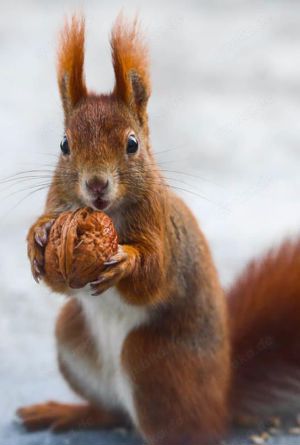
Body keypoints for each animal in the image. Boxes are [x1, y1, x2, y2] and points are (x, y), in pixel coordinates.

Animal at [17, 14, 300, 444]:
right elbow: (59, 279)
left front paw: (125, 261)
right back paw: (68, 411)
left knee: (184, 428)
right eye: (64, 144)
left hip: (154, 365)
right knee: (112, 412)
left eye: (132, 144)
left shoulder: (160, 226)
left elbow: (155, 276)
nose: (96, 185)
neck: (108, 215)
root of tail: (221, 397)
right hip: (71, 336)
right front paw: (38, 239)